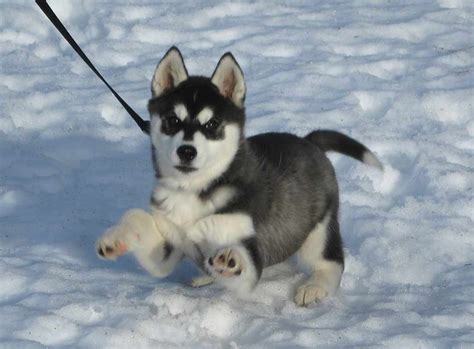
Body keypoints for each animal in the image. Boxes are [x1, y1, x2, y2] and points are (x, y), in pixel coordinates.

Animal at [96, 47, 382, 304]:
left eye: (212, 124)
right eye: (173, 120)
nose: (186, 151)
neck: (195, 190)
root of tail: (308, 140)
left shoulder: (250, 252)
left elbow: (241, 260)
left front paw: (230, 259)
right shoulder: (168, 247)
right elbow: (136, 217)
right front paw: (115, 239)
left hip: (319, 229)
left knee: (332, 262)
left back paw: (314, 287)